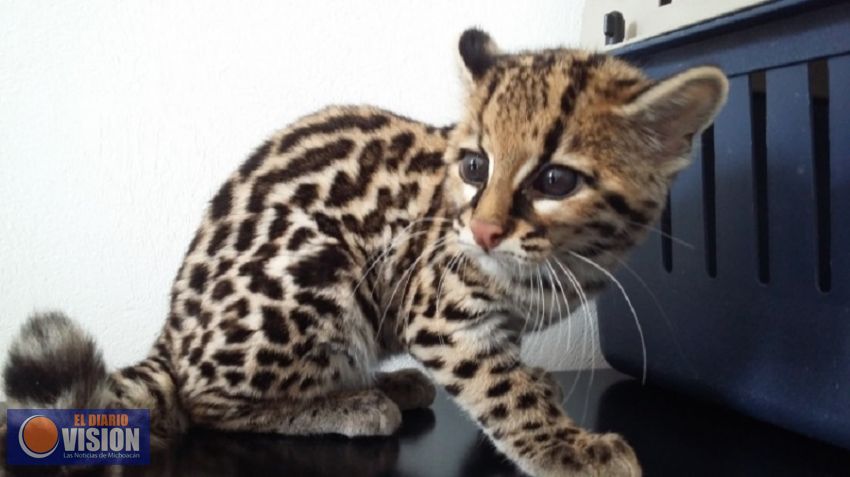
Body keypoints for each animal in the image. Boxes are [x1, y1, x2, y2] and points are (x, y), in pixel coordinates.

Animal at [3, 28, 727, 476]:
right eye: (475, 165)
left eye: (555, 181)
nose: (483, 231)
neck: (559, 261)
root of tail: (172, 334)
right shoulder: (437, 307)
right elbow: (500, 384)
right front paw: (560, 443)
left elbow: (510, 363)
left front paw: (540, 387)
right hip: (311, 268)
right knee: (205, 403)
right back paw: (356, 402)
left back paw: (383, 381)